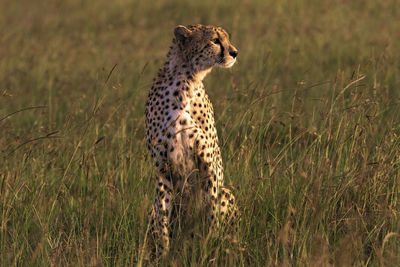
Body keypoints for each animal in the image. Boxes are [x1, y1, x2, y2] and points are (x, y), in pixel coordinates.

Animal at [145, 24, 239, 256]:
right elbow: (163, 215)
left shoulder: (208, 164)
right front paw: (164, 252)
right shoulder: (162, 168)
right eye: (215, 40)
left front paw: (211, 246)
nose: (234, 52)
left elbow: (211, 210)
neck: (185, 83)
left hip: (227, 192)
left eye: (227, 38)